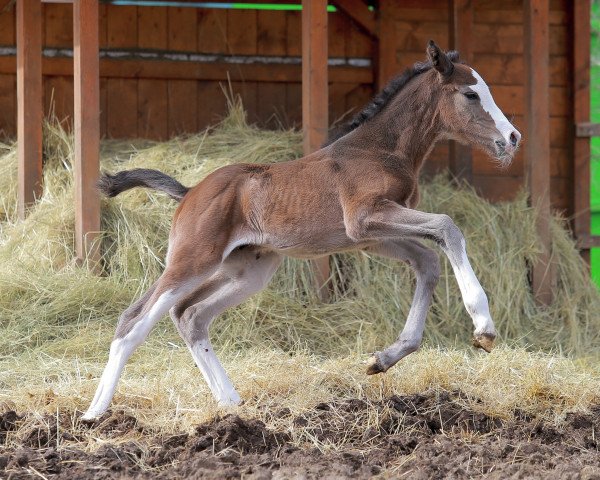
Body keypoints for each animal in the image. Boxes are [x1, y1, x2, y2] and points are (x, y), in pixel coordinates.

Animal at [83, 42, 520, 420]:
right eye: (470, 94)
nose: (512, 138)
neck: (380, 149)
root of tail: (189, 192)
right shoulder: (365, 218)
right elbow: (447, 226)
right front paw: (483, 325)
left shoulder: (370, 236)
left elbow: (428, 260)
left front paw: (384, 358)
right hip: (192, 260)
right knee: (134, 321)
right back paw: (94, 412)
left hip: (248, 270)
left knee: (189, 315)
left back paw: (231, 404)